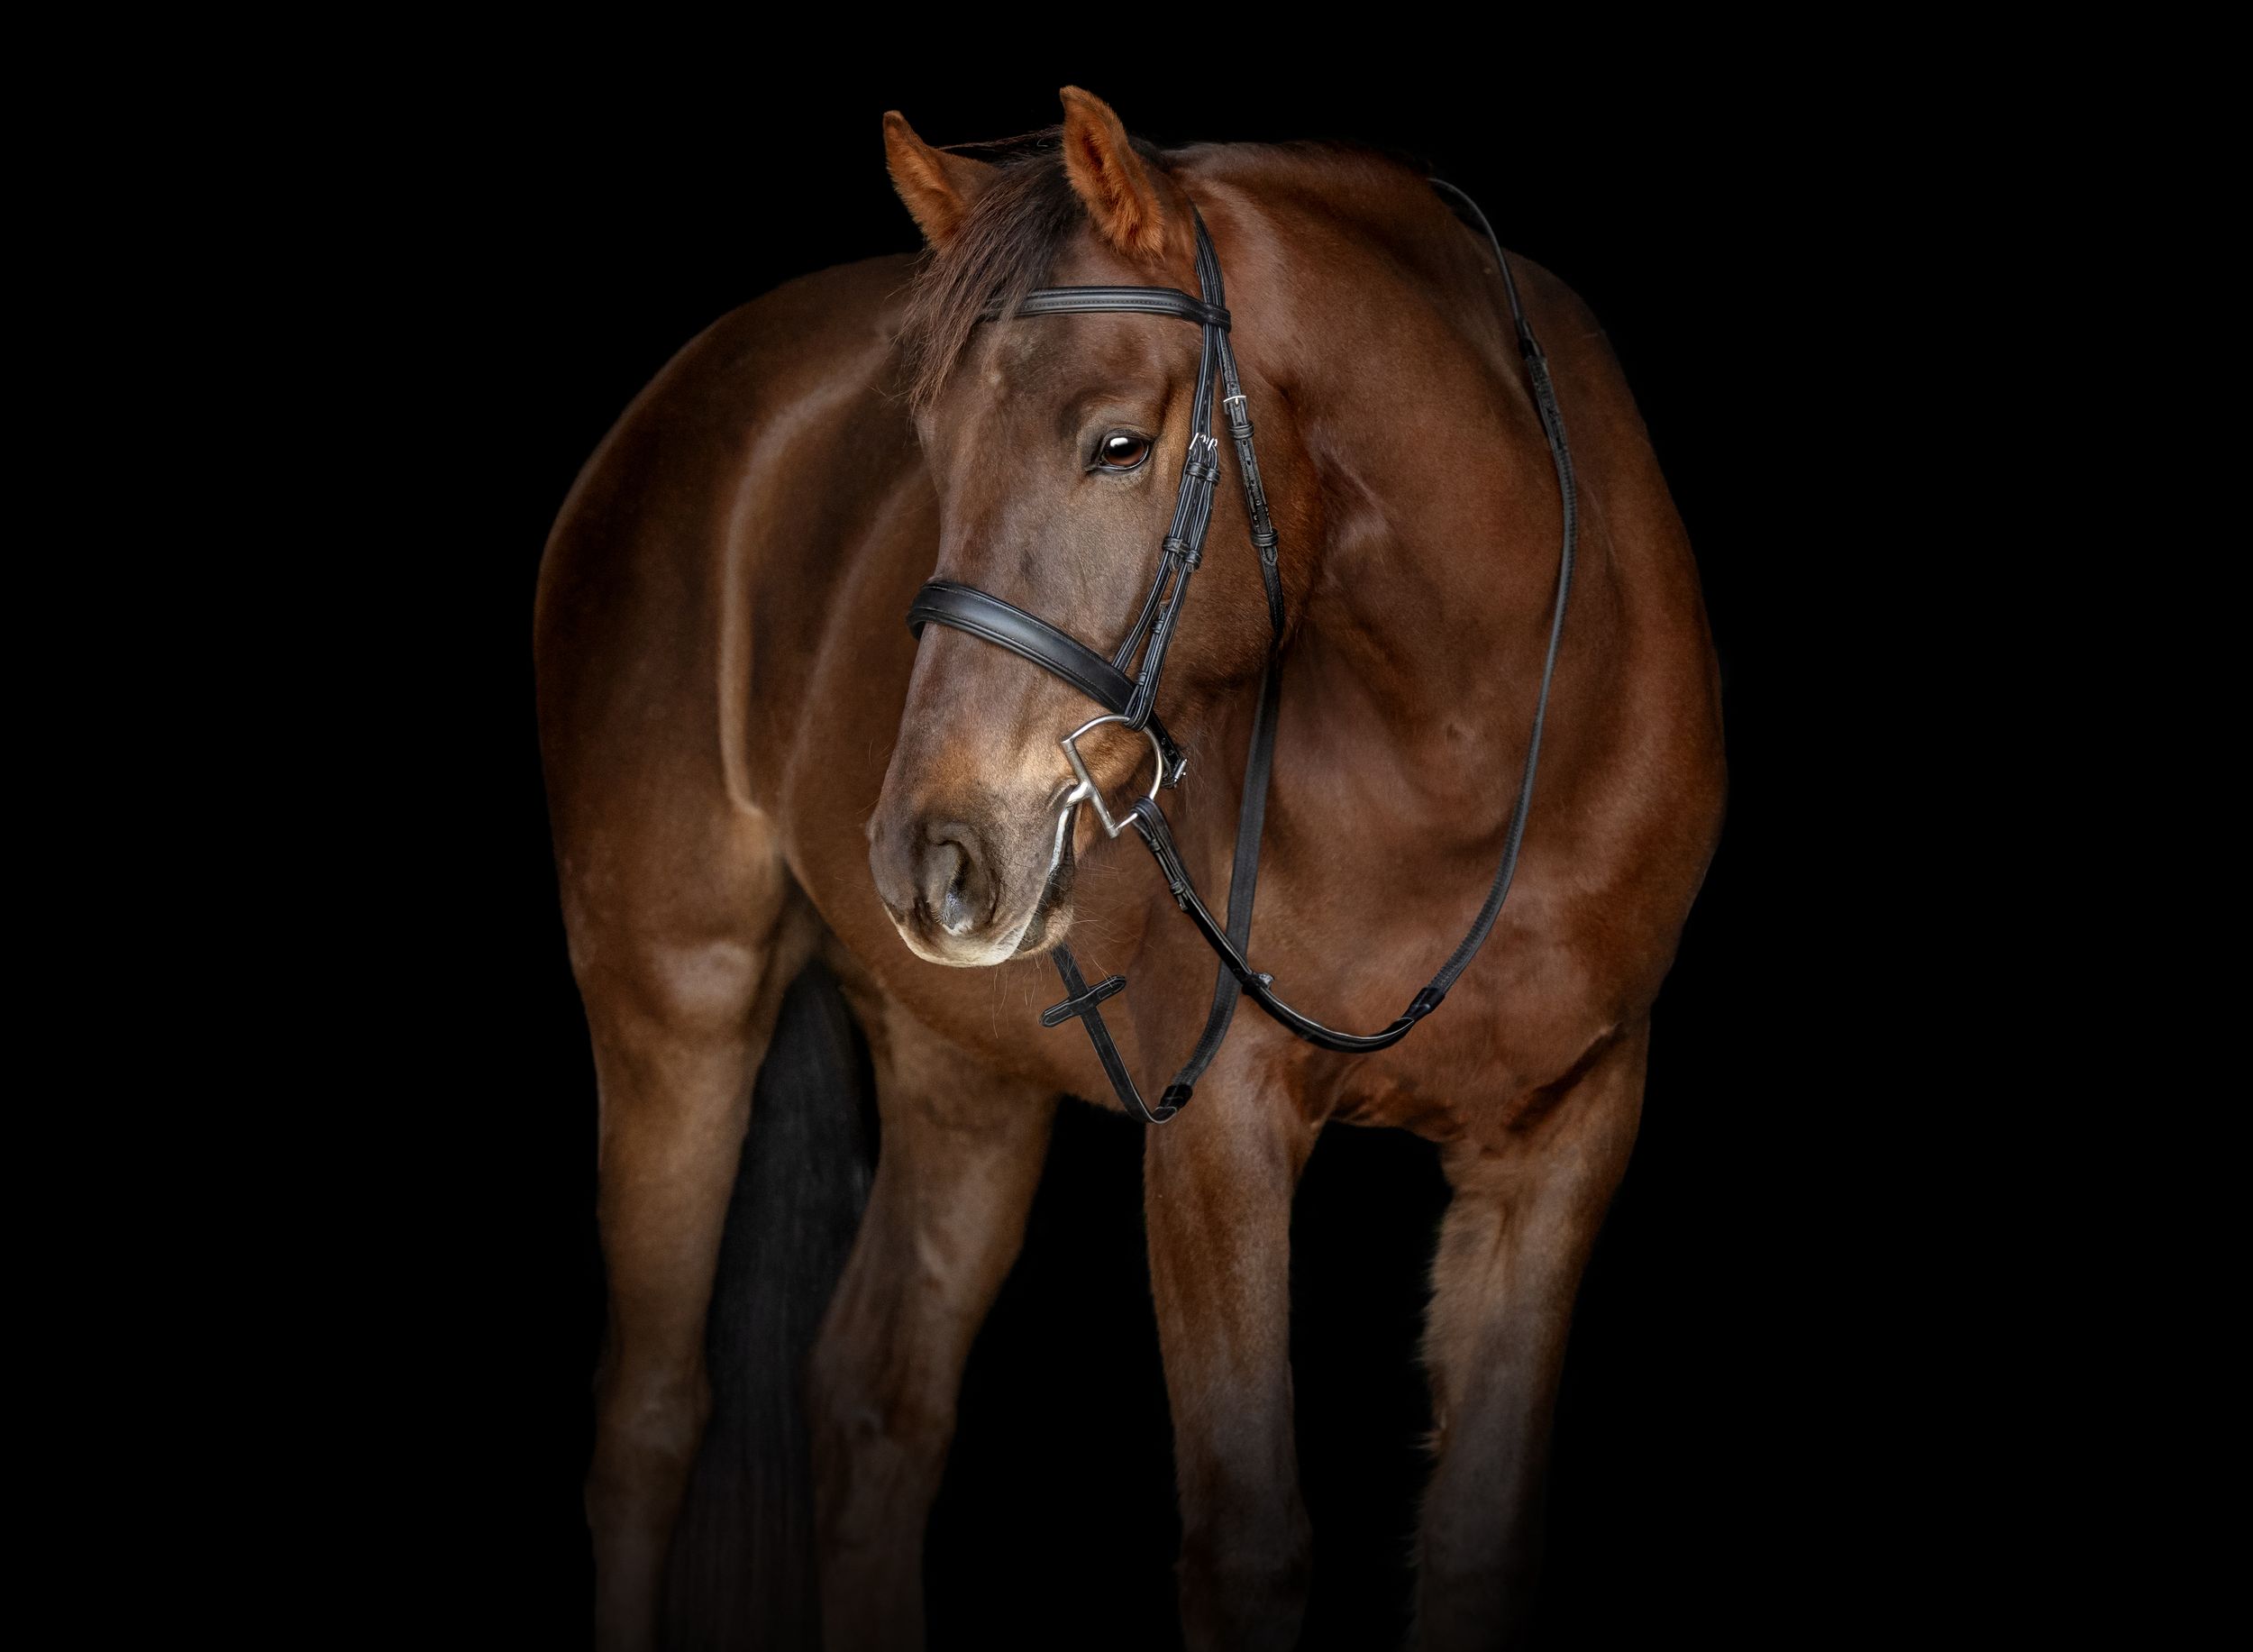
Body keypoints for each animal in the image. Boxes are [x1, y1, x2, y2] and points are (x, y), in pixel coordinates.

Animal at [535, 86, 1725, 1651]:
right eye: (926, 441)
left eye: (1113, 443)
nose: (930, 851)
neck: (1475, 727)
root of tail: (679, 393)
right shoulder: (1216, 1129)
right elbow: (1249, 1545)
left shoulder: (1565, 1135)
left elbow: (1477, 1544)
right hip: (676, 997)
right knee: (651, 1421)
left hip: (962, 1067)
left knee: (873, 1405)